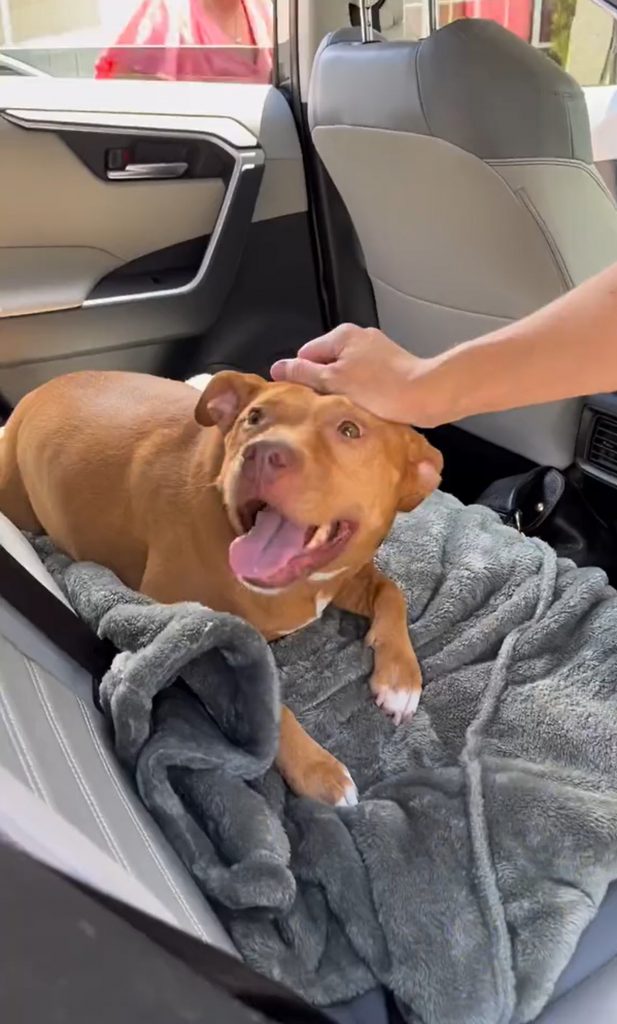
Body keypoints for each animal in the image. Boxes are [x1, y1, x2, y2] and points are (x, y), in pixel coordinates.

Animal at [0, 370, 444, 806]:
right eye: (255, 417)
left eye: (350, 430)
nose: (263, 454)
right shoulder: (193, 628)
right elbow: (268, 703)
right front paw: (319, 770)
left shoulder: (340, 579)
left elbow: (392, 591)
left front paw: (401, 677)